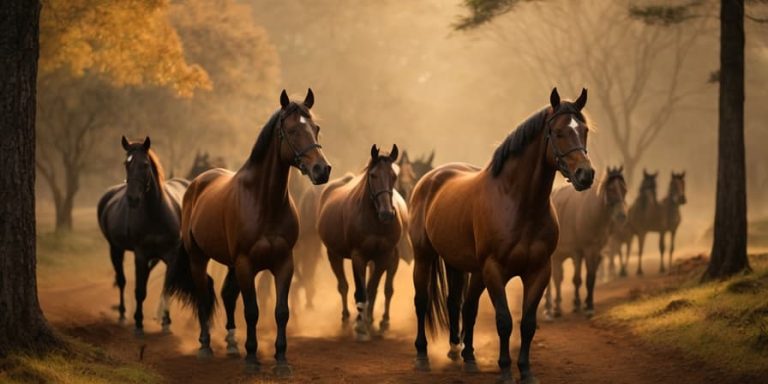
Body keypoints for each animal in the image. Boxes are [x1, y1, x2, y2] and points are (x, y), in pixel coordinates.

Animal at [96, 136, 189, 334]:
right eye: (126, 163)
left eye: (145, 164)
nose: (132, 199)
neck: (156, 213)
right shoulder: (140, 254)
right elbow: (139, 290)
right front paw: (138, 321)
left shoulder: (171, 255)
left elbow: (167, 288)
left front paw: (166, 320)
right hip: (115, 249)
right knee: (122, 281)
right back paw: (123, 313)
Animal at [164, 88, 332, 376]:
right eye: (291, 130)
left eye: (316, 128)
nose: (321, 170)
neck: (264, 202)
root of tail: (197, 183)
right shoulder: (245, 263)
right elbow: (252, 311)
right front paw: (252, 359)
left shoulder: (283, 263)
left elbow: (281, 311)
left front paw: (281, 361)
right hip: (199, 258)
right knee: (203, 296)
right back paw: (205, 347)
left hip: (230, 264)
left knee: (227, 296)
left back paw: (232, 345)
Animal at [316, 144, 408, 340]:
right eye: (373, 175)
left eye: (393, 176)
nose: (387, 214)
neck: (374, 221)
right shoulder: (358, 256)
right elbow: (360, 291)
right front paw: (359, 326)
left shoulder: (383, 257)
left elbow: (372, 289)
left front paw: (368, 323)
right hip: (333, 254)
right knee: (343, 286)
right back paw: (346, 321)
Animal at [408, 88, 592, 384]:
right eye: (559, 132)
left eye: (584, 130)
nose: (585, 174)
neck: (518, 204)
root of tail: (429, 179)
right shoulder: (494, 270)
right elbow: (504, 321)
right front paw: (505, 371)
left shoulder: (539, 271)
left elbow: (527, 324)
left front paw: (526, 371)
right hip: (425, 257)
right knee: (422, 302)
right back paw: (422, 356)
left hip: (462, 266)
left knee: (461, 305)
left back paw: (464, 355)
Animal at [544, 166, 628, 320]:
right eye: (611, 189)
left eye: (624, 190)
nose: (622, 216)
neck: (593, 215)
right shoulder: (581, 251)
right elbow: (580, 279)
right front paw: (582, 306)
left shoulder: (596, 252)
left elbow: (591, 278)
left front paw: (585, 305)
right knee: (553, 280)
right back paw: (549, 309)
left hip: (559, 256)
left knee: (557, 278)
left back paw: (556, 306)